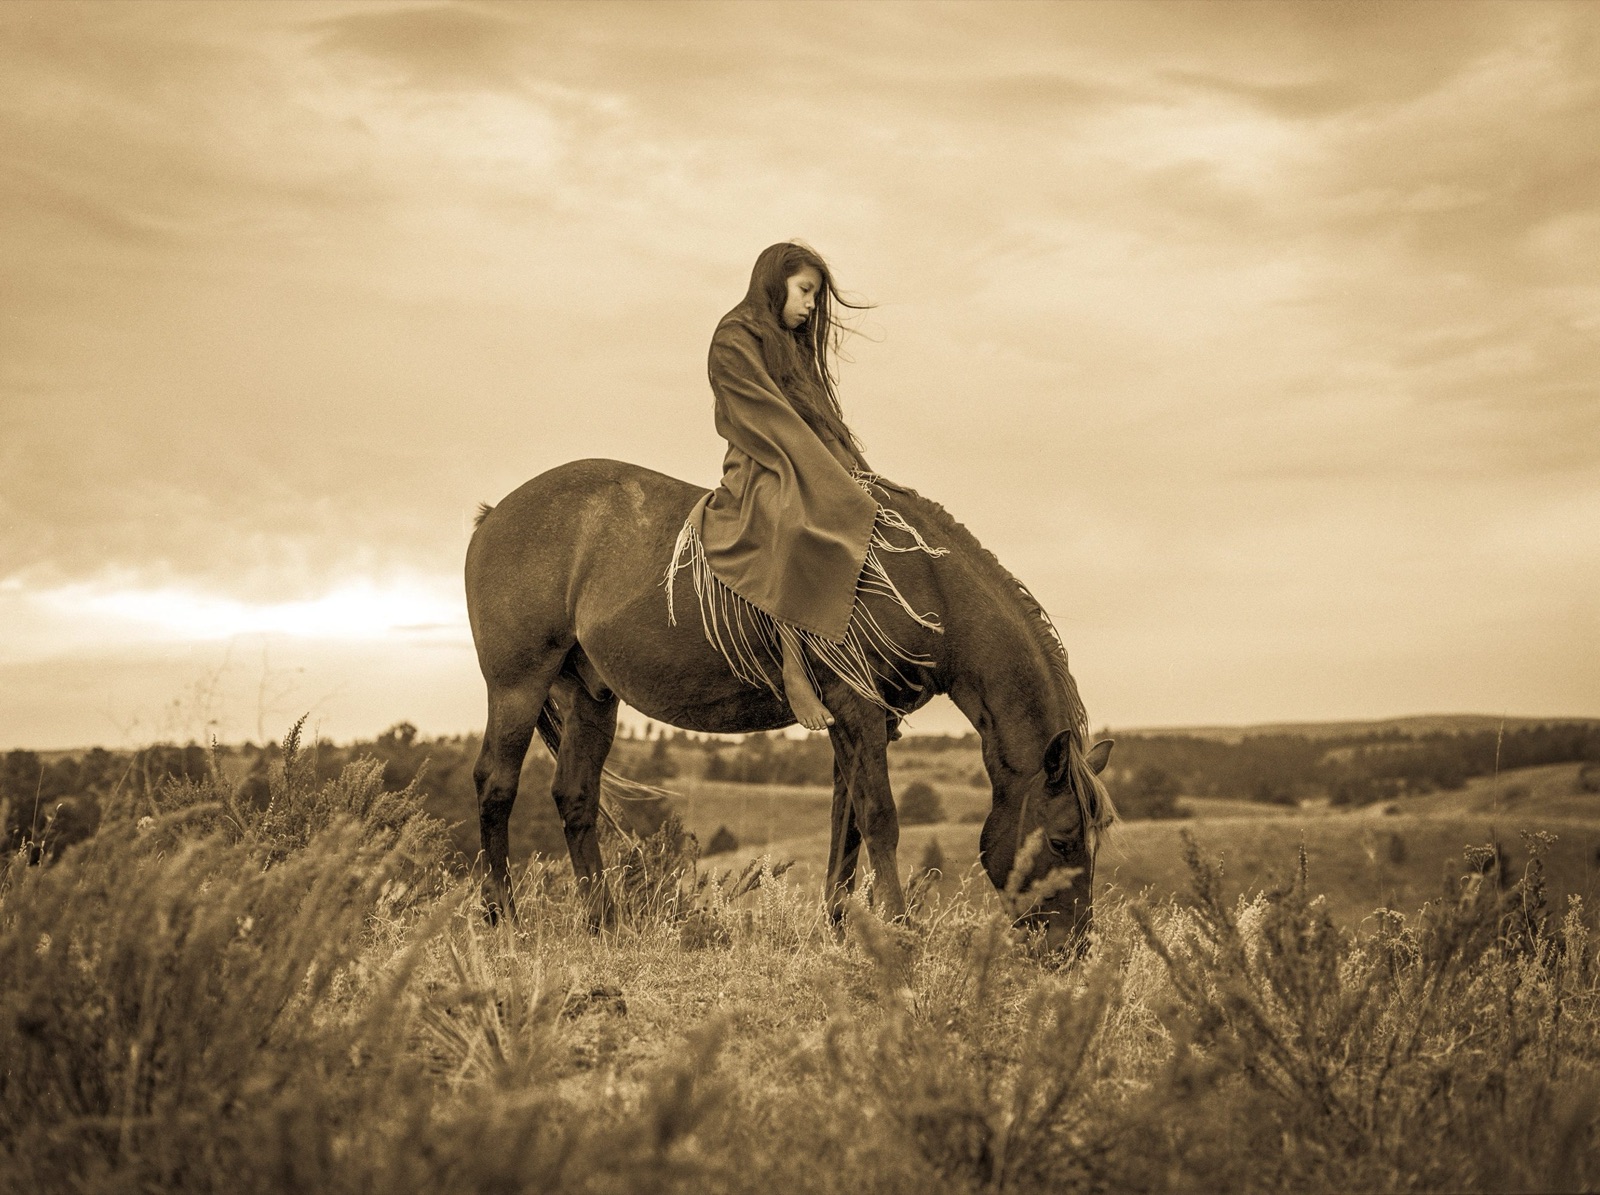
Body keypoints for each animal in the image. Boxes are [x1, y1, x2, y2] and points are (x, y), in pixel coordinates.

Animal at [464, 458, 1115, 951]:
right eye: (1061, 841)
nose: (1074, 948)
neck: (922, 580)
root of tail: (494, 516)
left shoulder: (856, 723)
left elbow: (845, 826)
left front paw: (840, 929)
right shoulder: (858, 711)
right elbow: (880, 819)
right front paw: (899, 929)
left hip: (591, 696)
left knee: (575, 796)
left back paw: (604, 924)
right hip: (517, 685)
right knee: (496, 785)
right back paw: (506, 922)